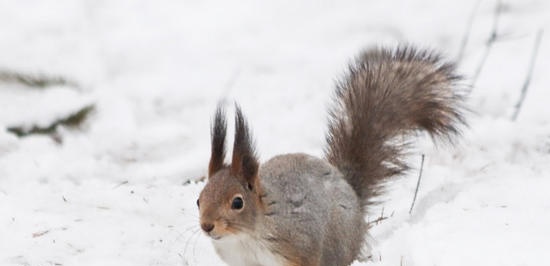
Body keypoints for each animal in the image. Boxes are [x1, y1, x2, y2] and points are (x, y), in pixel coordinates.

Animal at [196, 46, 468, 266]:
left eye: (237, 202)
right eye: (198, 200)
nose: (206, 226)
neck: (245, 238)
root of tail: (352, 193)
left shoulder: (298, 244)